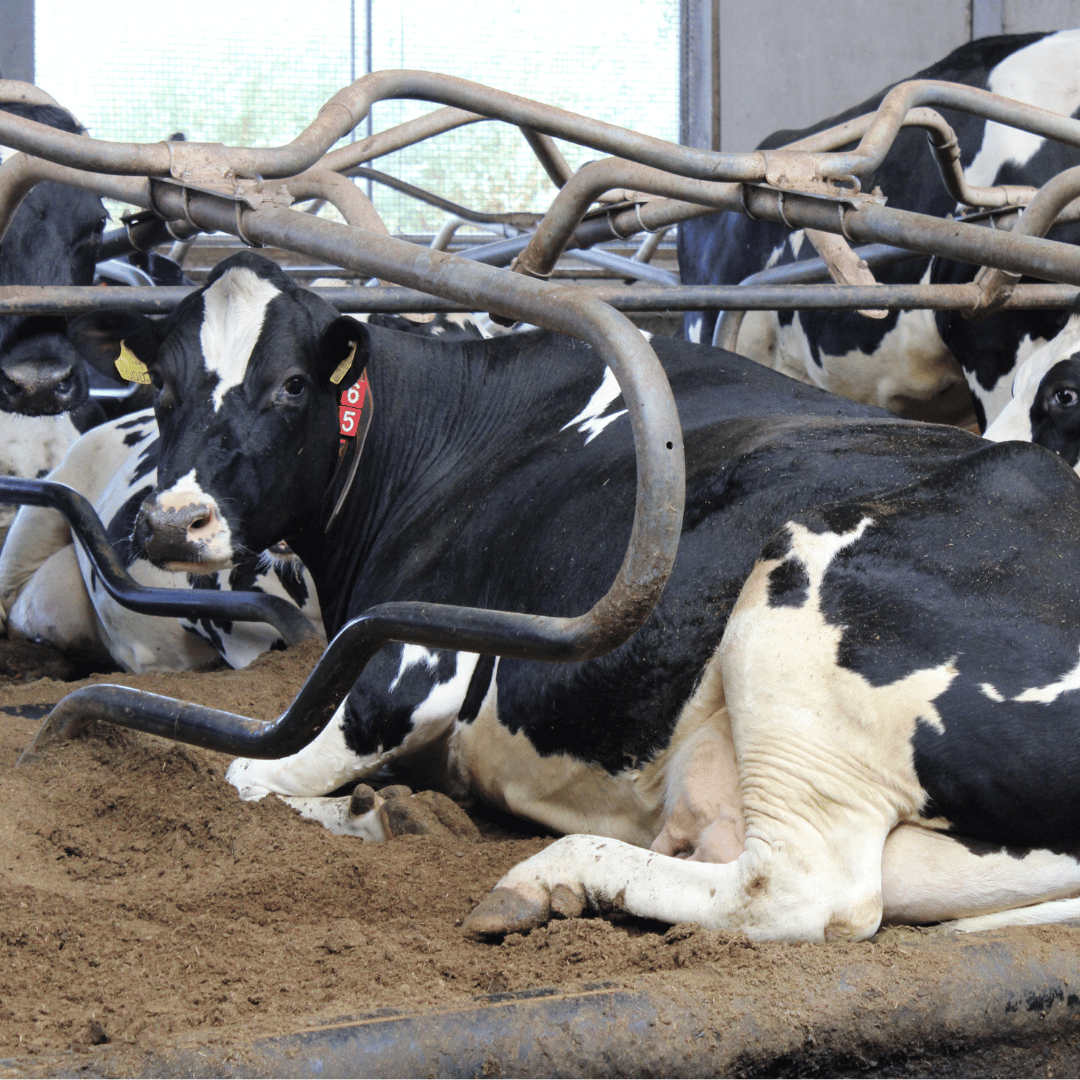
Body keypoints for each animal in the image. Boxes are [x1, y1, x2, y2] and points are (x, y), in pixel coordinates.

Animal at [65, 249, 1080, 940]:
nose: (173, 524)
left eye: (288, 386)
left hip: (801, 620)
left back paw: (546, 876)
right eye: (162, 387)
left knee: (797, 891)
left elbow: (243, 778)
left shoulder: (415, 662)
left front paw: (366, 810)